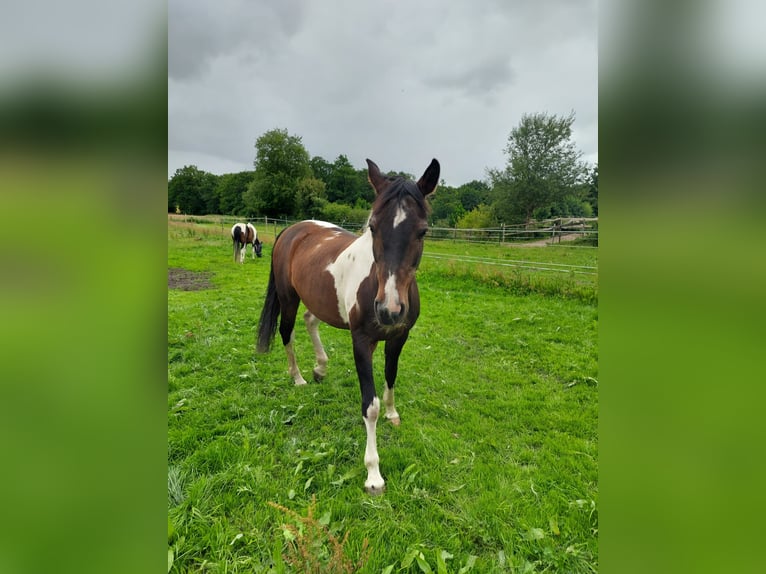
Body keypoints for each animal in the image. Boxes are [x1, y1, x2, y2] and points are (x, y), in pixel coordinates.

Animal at [256, 158, 439, 494]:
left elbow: (391, 376)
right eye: (373, 227)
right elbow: (370, 406)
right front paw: (373, 475)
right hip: (288, 298)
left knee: (310, 321)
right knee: (287, 332)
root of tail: (292, 229)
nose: (389, 309)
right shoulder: (361, 342)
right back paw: (299, 378)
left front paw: (393, 413)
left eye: (422, 231)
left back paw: (320, 367)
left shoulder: (399, 337)